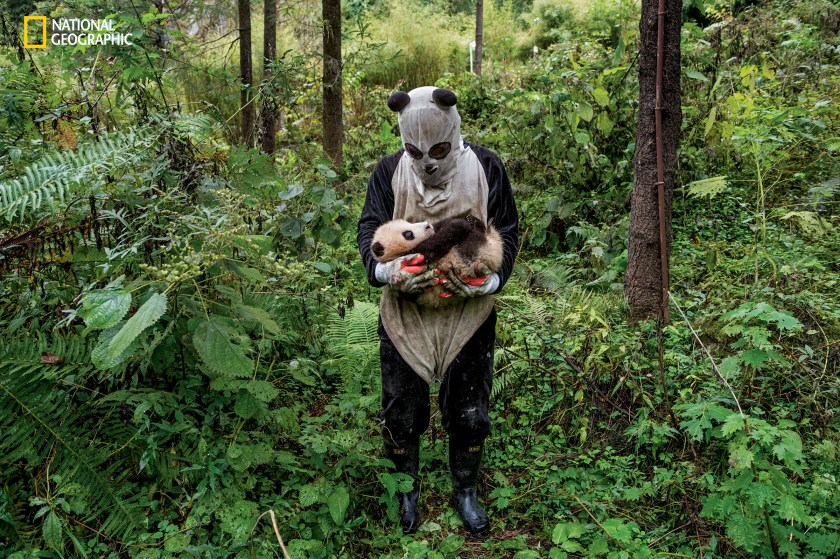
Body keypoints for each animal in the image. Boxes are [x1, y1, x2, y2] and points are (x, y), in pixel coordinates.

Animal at [371, 215, 503, 307]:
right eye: (408, 234)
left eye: (408, 222)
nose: (427, 225)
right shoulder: (417, 256)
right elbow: (440, 241)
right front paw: (460, 224)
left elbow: (440, 227)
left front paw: (465, 220)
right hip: (470, 252)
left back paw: (474, 221)